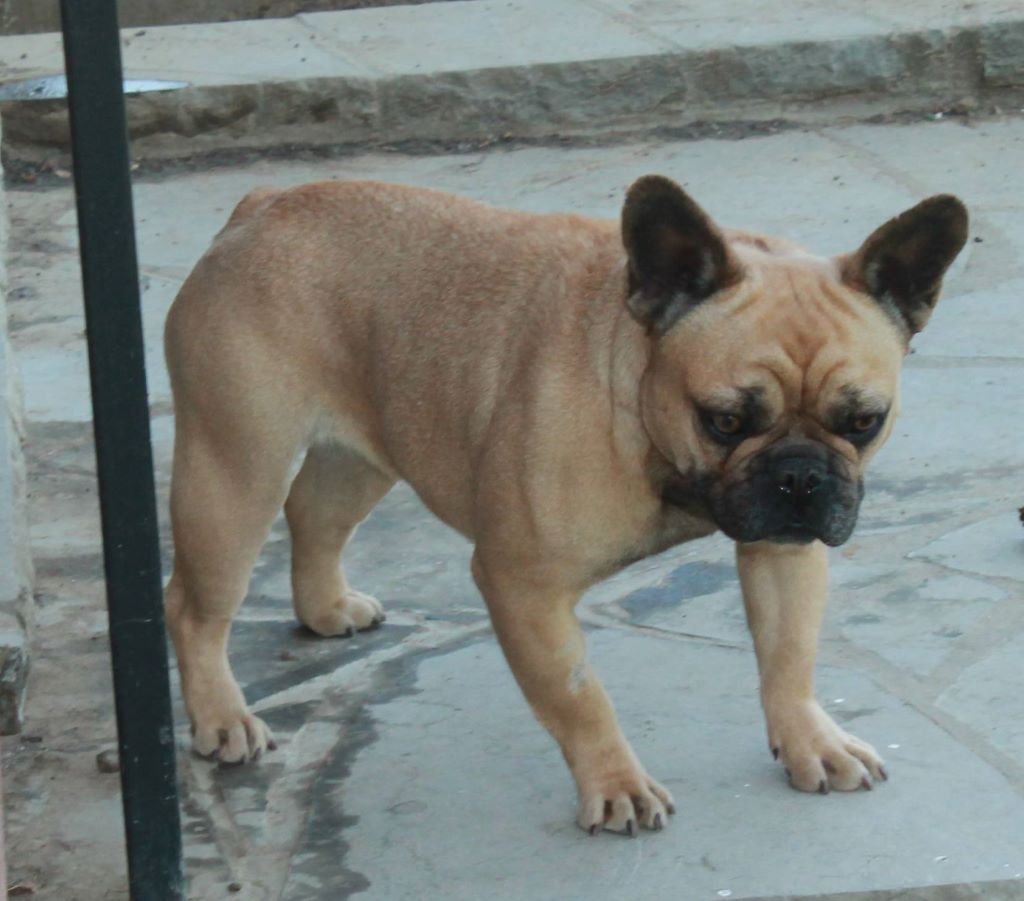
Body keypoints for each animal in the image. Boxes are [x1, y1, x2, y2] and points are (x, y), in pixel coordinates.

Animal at [163, 175, 967, 835]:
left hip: (364, 453)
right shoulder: (524, 585)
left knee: (315, 515)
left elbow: (789, 652)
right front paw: (616, 785)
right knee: (195, 605)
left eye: (862, 421)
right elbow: (578, 694)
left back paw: (326, 608)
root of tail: (259, 209)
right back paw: (223, 715)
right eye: (724, 419)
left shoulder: (780, 547)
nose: (801, 477)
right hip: (235, 470)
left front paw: (811, 741)